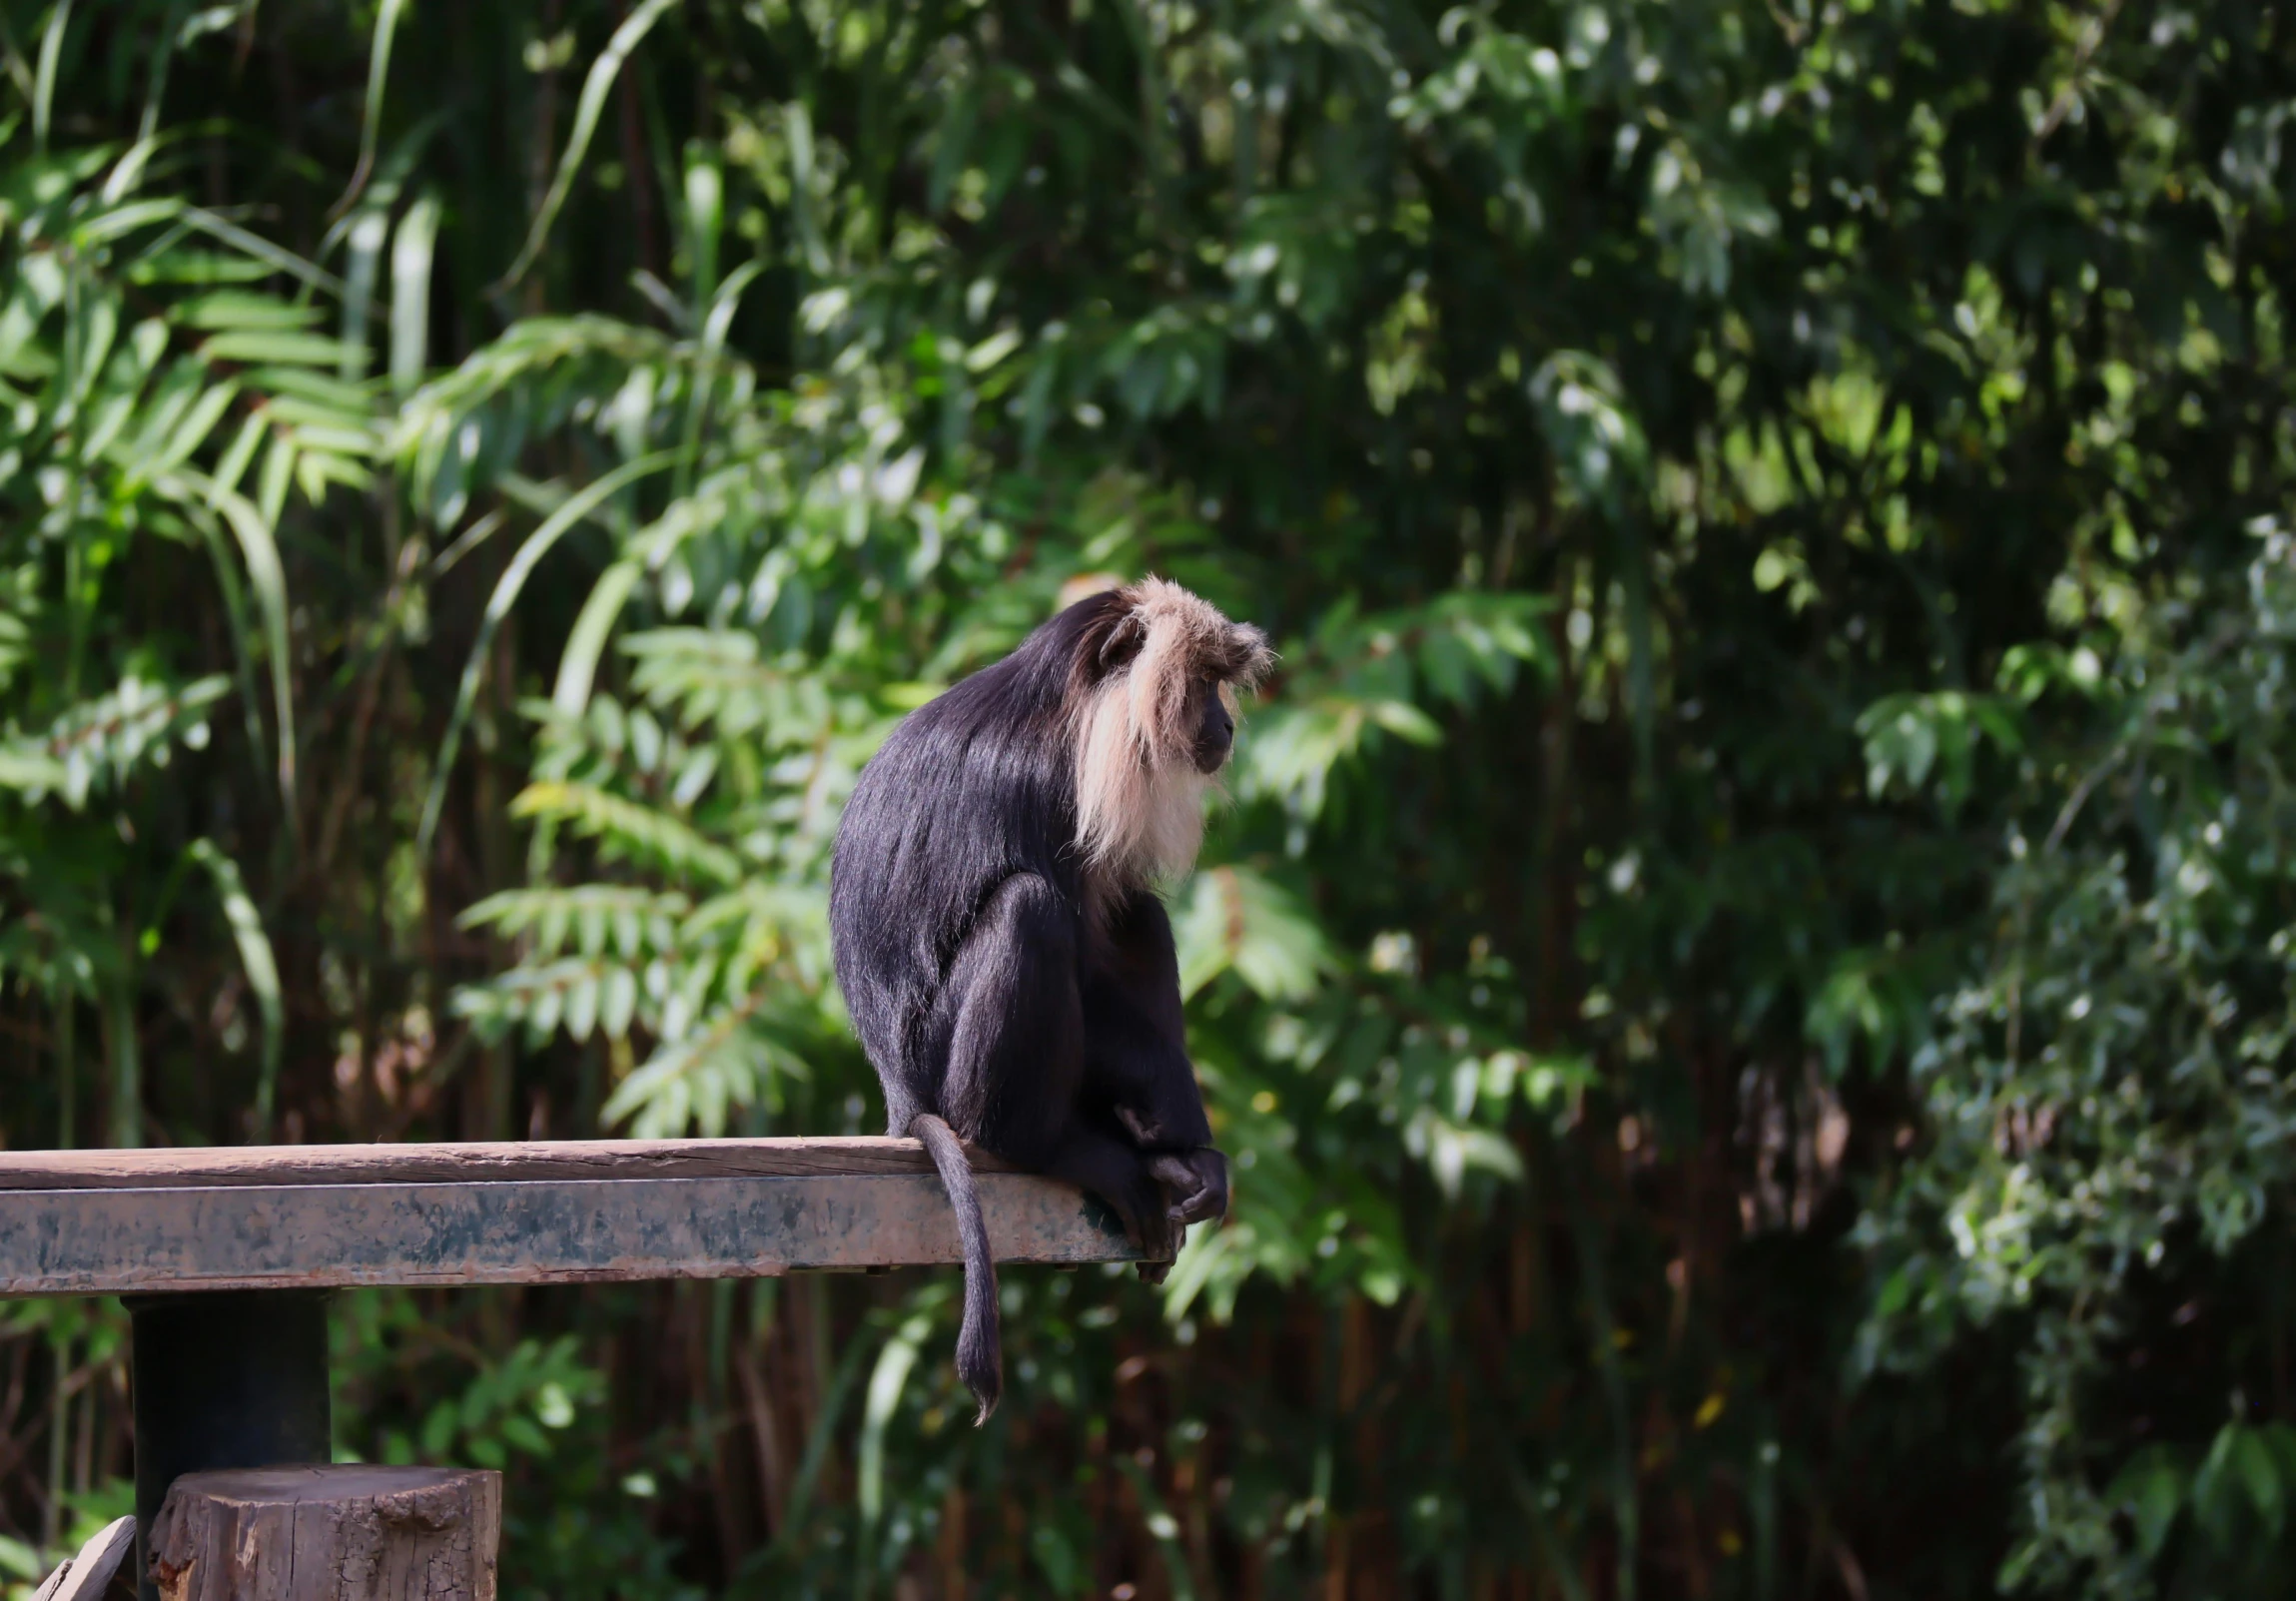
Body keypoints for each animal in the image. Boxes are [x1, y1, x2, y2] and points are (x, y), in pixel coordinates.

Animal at [835, 576, 1285, 1423]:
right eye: (1201, 682)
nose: (1224, 724)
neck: (1059, 715)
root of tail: (898, 1091)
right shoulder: (1044, 787)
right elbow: (1072, 950)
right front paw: (1178, 1121)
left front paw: (1187, 1153)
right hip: (942, 1059)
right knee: (1029, 909)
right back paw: (1046, 1142)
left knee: (1138, 912)